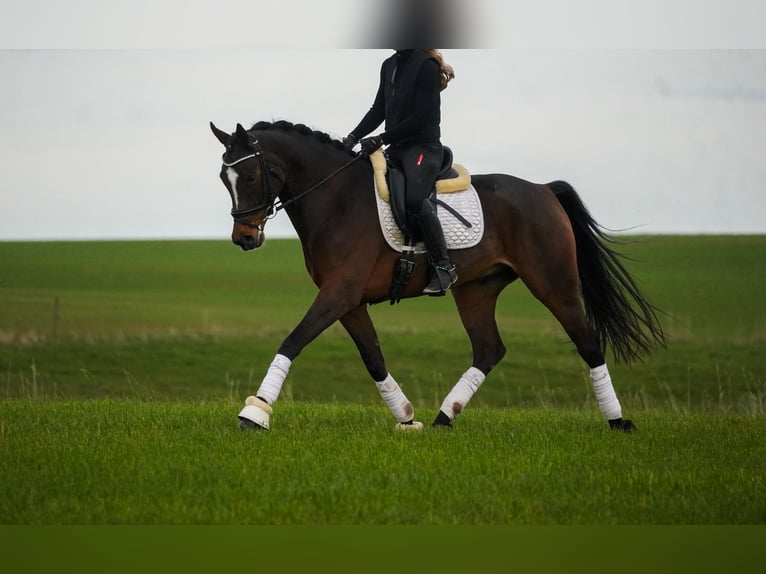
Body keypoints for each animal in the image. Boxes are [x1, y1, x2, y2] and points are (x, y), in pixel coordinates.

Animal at [210, 120, 665, 432]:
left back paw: (618, 421)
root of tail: (542, 189)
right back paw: (444, 417)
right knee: (489, 349)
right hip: (476, 290)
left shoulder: (339, 293)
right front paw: (406, 417)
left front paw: (255, 412)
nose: (244, 238)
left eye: (249, 176)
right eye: (223, 178)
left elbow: (293, 341)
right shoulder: (348, 301)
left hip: (554, 283)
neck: (336, 199)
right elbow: (373, 358)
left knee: (588, 342)